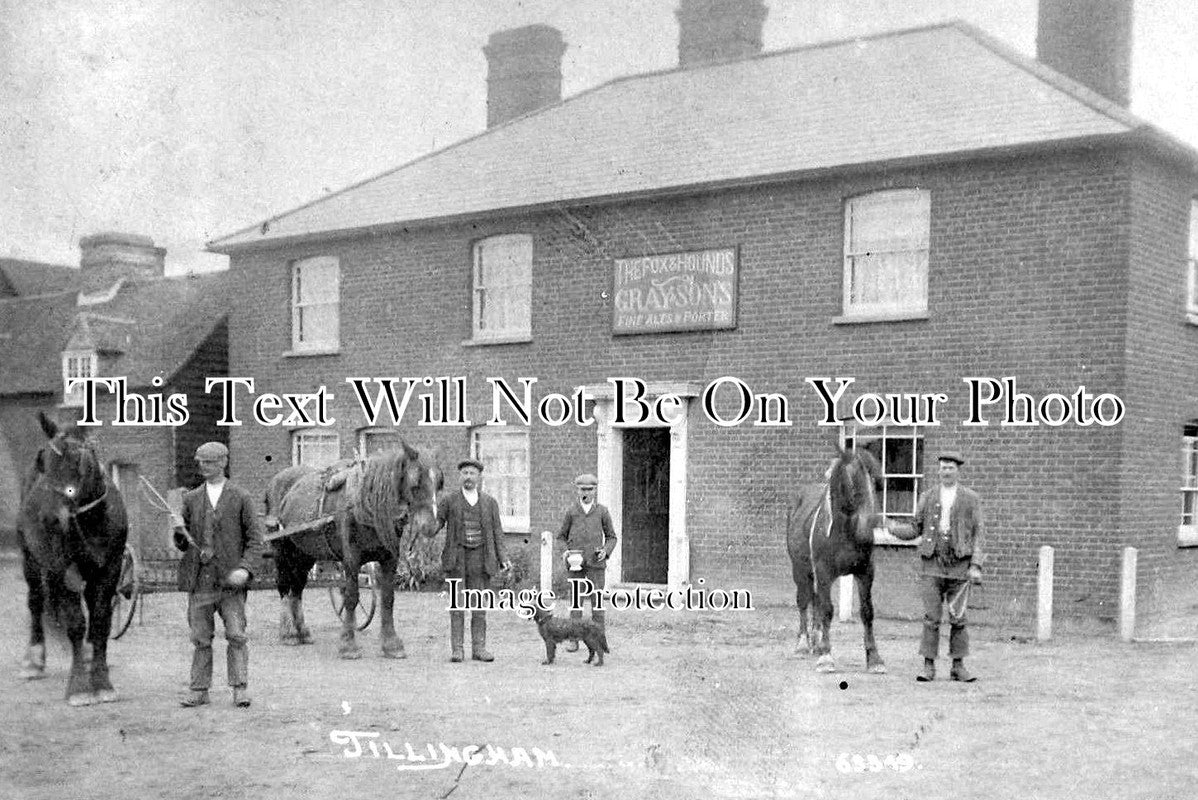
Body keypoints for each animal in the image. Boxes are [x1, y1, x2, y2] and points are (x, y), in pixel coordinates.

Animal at [17, 411, 128, 704]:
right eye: (43, 461)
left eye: (78, 460)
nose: (50, 519)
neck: (91, 520)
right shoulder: (63, 569)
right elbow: (76, 623)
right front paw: (79, 687)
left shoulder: (110, 569)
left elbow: (100, 621)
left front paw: (102, 682)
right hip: (31, 559)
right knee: (36, 600)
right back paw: (34, 659)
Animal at [264, 443, 443, 656]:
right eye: (415, 483)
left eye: (439, 483)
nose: (431, 525)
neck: (365, 503)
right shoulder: (351, 559)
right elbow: (351, 597)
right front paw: (348, 644)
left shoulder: (390, 559)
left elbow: (388, 598)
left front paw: (391, 644)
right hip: (282, 551)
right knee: (284, 586)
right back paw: (288, 633)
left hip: (304, 553)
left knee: (297, 588)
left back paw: (302, 632)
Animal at [785, 450, 891, 675]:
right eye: (850, 483)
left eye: (877, 482)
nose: (869, 525)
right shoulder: (824, 572)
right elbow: (827, 610)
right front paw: (826, 657)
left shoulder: (865, 572)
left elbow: (867, 612)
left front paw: (875, 659)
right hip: (800, 570)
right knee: (804, 601)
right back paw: (803, 645)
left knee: (815, 600)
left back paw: (815, 643)